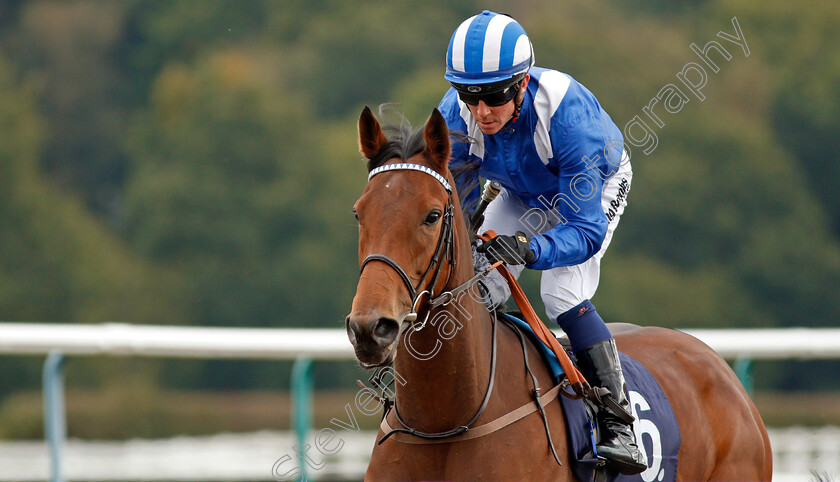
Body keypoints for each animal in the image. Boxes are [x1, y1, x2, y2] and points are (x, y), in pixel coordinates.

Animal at [344, 107, 772, 480]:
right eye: (358, 213)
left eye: (432, 216)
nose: (370, 328)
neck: (446, 424)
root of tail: (721, 370)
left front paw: (513, 248)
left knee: (570, 301)